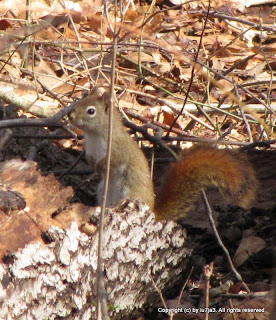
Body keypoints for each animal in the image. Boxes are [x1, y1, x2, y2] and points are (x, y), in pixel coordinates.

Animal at [68, 89, 256, 220]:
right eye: (81, 100)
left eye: (91, 111)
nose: (70, 116)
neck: (94, 136)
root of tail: (153, 212)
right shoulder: (91, 150)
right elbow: (90, 159)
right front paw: (92, 165)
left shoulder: (118, 149)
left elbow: (113, 160)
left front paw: (100, 166)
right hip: (103, 191)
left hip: (129, 190)